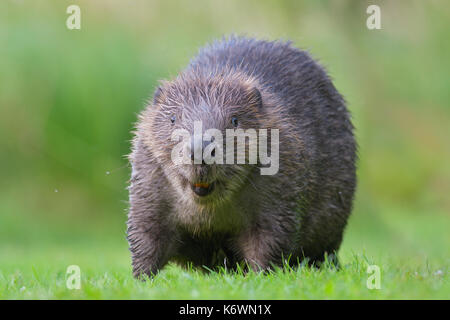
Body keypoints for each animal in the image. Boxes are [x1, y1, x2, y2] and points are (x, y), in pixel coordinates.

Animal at [127, 36, 358, 278]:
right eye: (172, 118)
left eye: (235, 120)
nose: (201, 149)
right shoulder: (148, 180)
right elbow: (146, 234)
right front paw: (141, 279)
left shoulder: (281, 179)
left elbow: (270, 235)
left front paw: (260, 276)